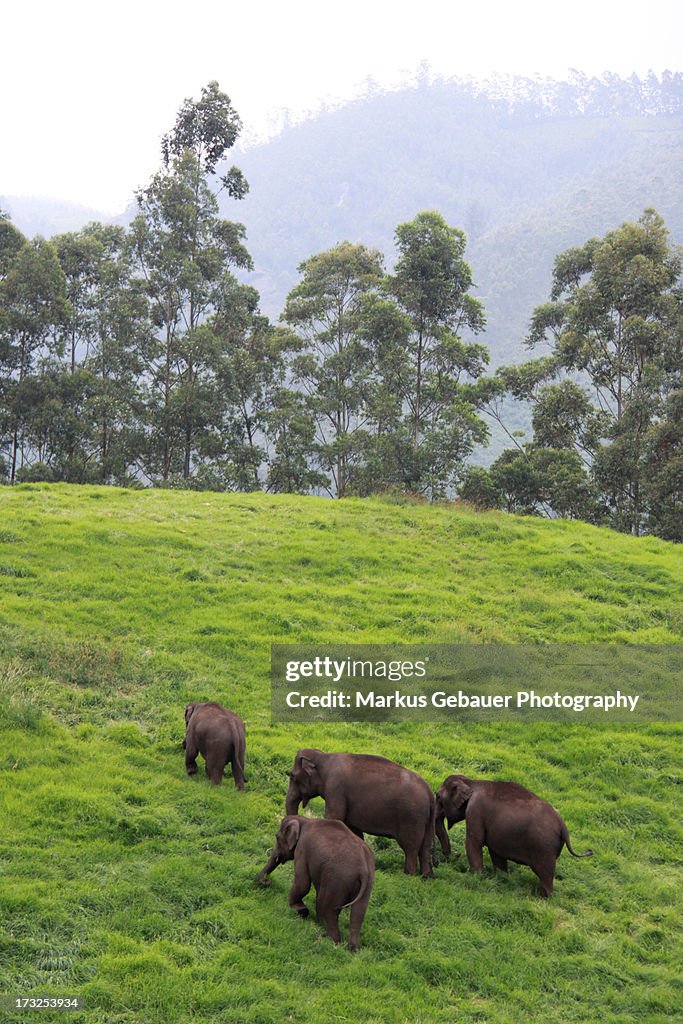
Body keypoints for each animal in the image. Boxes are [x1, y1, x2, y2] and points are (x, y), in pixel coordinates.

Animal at [258, 815, 374, 950]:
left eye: (277, 837)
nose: (267, 881)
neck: (304, 820)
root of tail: (363, 871)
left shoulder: (302, 848)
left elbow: (302, 883)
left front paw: (299, 910)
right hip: (367, 885)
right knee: (358, 913)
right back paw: (353, 949)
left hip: (338, 880)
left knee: (329, 907)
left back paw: (329, 941)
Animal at [286, 749, 436, 876]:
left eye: (292, 775)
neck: (324, 756)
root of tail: (429, 793)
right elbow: (353, 829)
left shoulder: (335, 788)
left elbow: (334, 817)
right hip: (426, 819)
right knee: (425, 847)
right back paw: (426, 876)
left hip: (411, 817)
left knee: (411, 847)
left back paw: (408, 875)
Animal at [438, 774, 593, 897]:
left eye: (438, 796)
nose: (453, 857)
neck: (471, 782)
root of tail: (563, 826)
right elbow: (496, 853)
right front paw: (501, 879)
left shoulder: (475, 810)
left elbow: (474, 842)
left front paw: (474, 877)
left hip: (544, 847)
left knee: (545, 873)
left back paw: (542, 897)